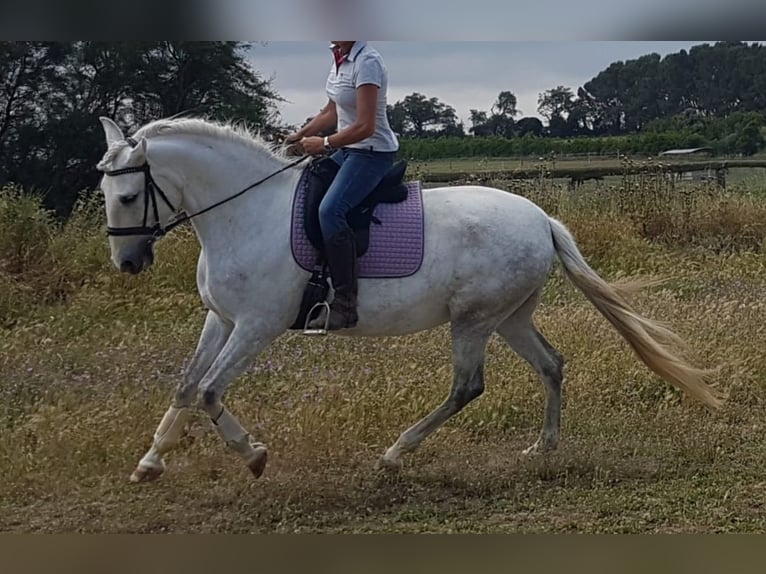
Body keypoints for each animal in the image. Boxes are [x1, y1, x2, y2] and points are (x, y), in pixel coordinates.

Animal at [93, 117, 724, 486]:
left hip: (473, 321)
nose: (128, 264)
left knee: (467, 388)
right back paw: (541, 448)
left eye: (125, 196)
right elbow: (186, 385)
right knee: (551, 364)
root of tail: (541, 218)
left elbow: (209, 390)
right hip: (510, 318)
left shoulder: (256, 324)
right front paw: (150, 462)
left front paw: (254, 456)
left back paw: (396, 453)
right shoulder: (220, 319)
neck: (247, 213)